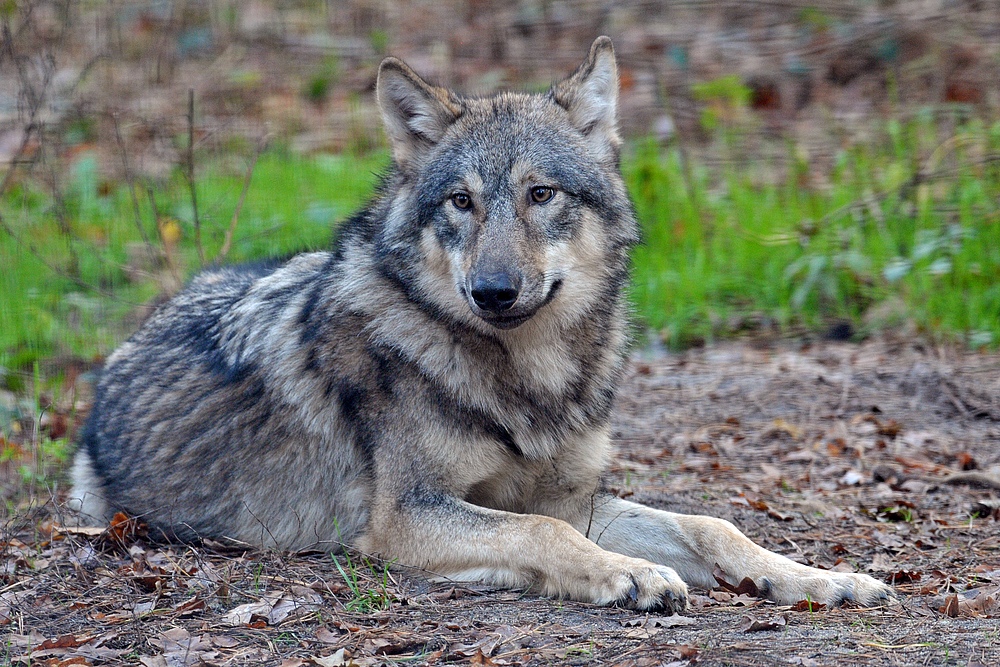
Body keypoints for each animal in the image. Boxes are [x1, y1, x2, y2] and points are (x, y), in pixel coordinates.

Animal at [72, 35, 900, 612]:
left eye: (540, 194)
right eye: (461, 202)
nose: (493, 290)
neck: (529, 377)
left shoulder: (567, 494)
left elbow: (713, 525)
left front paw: (825, 578)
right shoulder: (407, 517)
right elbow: (544, 535)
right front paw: (633, 575)